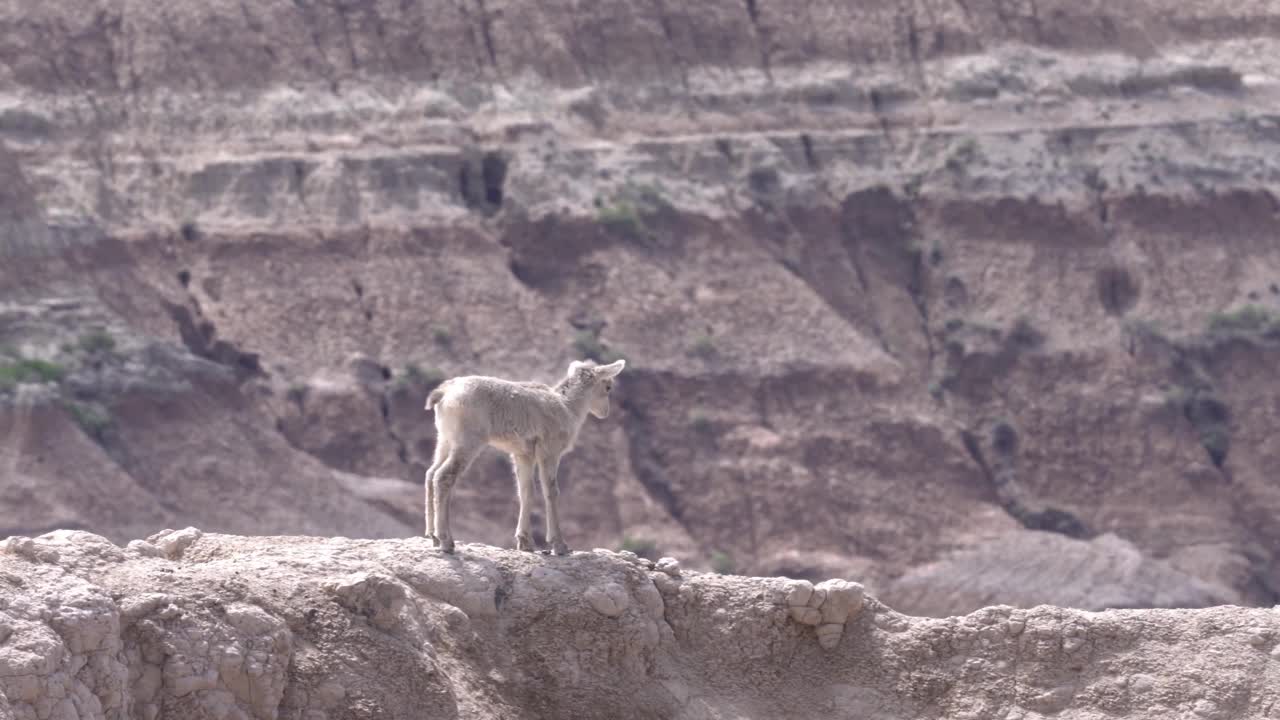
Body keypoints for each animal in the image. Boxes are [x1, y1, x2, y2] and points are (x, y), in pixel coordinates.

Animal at [422, 356, 627, 550]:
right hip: (467, 443)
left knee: (431, 474)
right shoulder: (549, 452)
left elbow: (526, 491)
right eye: (608, 387)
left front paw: (525, 543)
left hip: (445, 441)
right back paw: (446, 541)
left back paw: (432, 536)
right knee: (443, 477)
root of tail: (444, 393)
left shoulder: (523, 455)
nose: (605, 412)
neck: (568, 408)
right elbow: (551, 491)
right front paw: (560, 545)